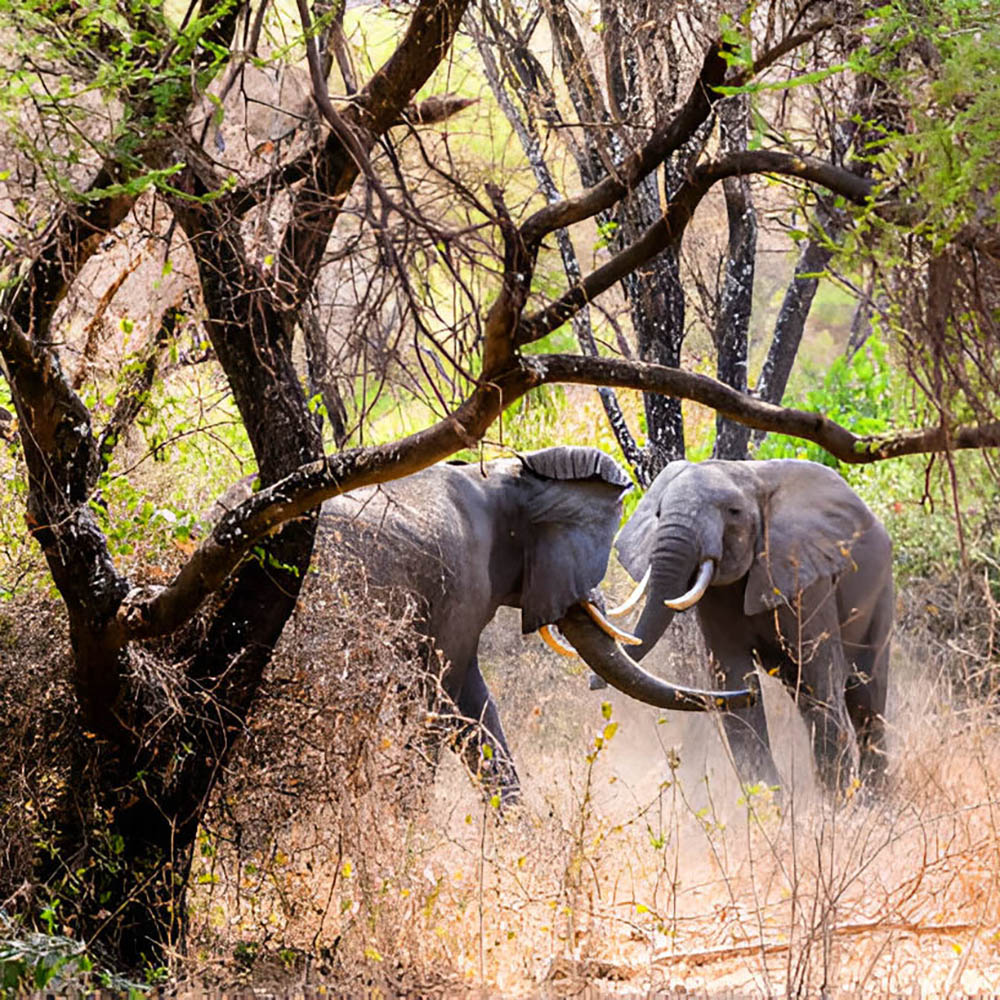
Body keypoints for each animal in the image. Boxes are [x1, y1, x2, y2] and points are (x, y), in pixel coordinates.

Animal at [310, 448, 752, 804]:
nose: (748, 694)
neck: (505, 478)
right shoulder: (463, 583)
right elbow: (441, 699)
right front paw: (406, 830)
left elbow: (476, 708)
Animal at [604, 458, 896, 792]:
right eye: (658, 514)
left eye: (734, 512)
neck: (750, 477)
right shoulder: (715, 599)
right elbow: (734, 683)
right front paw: (769, 799)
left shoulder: (805, 579)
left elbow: (819, 679)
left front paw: (837, 804)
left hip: (880, 590)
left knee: (865, 700)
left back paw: (875, 798)